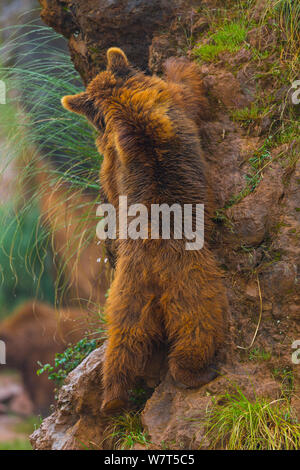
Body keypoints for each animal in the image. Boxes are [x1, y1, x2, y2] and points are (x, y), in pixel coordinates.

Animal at [62, 48, 229, 414]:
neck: (120, 101)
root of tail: (152, 268)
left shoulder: (113, 156)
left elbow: (110, 181)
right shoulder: (170, 101)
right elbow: (189, 91)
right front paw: (178, 62)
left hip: (124, 295)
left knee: (123, 340)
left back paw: (112, 396)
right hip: (190, 278)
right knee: (199, 320)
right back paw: (196, 370)